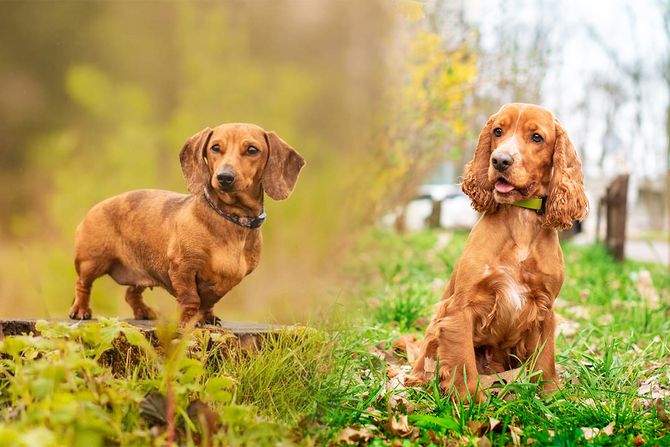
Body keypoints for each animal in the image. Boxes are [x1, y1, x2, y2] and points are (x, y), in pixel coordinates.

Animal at [69, 122, 306, 326]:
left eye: (252, 150)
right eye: (215, 147)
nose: (224, 177)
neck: (232, 219)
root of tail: (96, 206)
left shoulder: (227, 281)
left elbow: (209, 301)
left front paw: (207, 318)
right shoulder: (183, 268)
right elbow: (191, 298)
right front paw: (188, 322)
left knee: (130, 293)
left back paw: (144, 312)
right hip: (92, 261)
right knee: (83, 285)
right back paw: (80, 311)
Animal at [410, 104, 588, 402]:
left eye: (537, 137)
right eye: (497, 131)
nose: (500, 161)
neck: (520, 217)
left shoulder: (545, 309)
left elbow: (546, 360)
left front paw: (551, 398)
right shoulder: (460, 308)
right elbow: (463, 363)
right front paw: (470, 404)